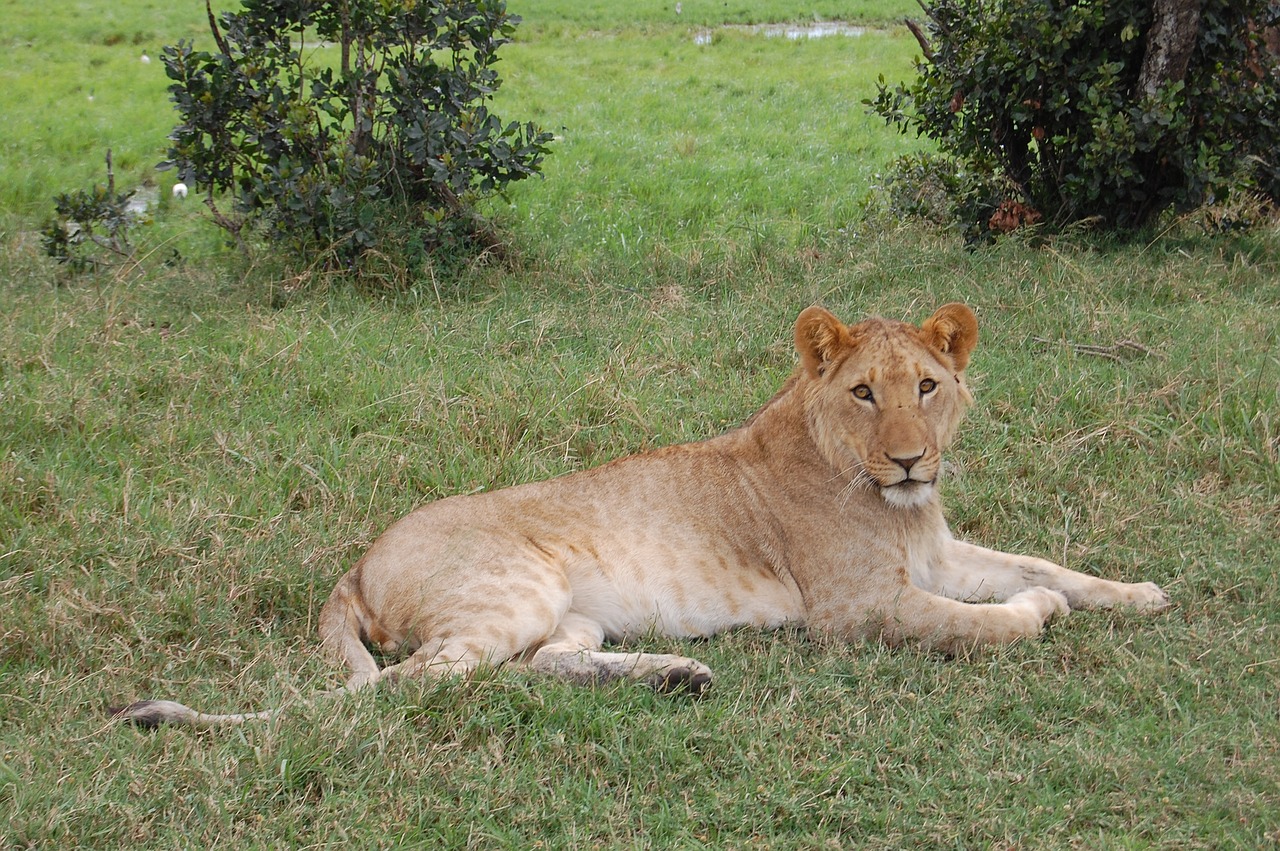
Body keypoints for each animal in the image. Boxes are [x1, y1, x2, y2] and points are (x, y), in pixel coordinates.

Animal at [117, 302, 1172, 726]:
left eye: (927, 385)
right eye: (865, 393)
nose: (913, 458)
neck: (896, 504)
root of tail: (356, 563)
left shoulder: (940, 555)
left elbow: (1045, 563)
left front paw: (1139, 592)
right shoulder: (857, 610)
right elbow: (987, 622)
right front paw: (1036, 616)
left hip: (565, 613)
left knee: (537, 666)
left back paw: (677, 675)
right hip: (513, 589)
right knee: (413, 686)